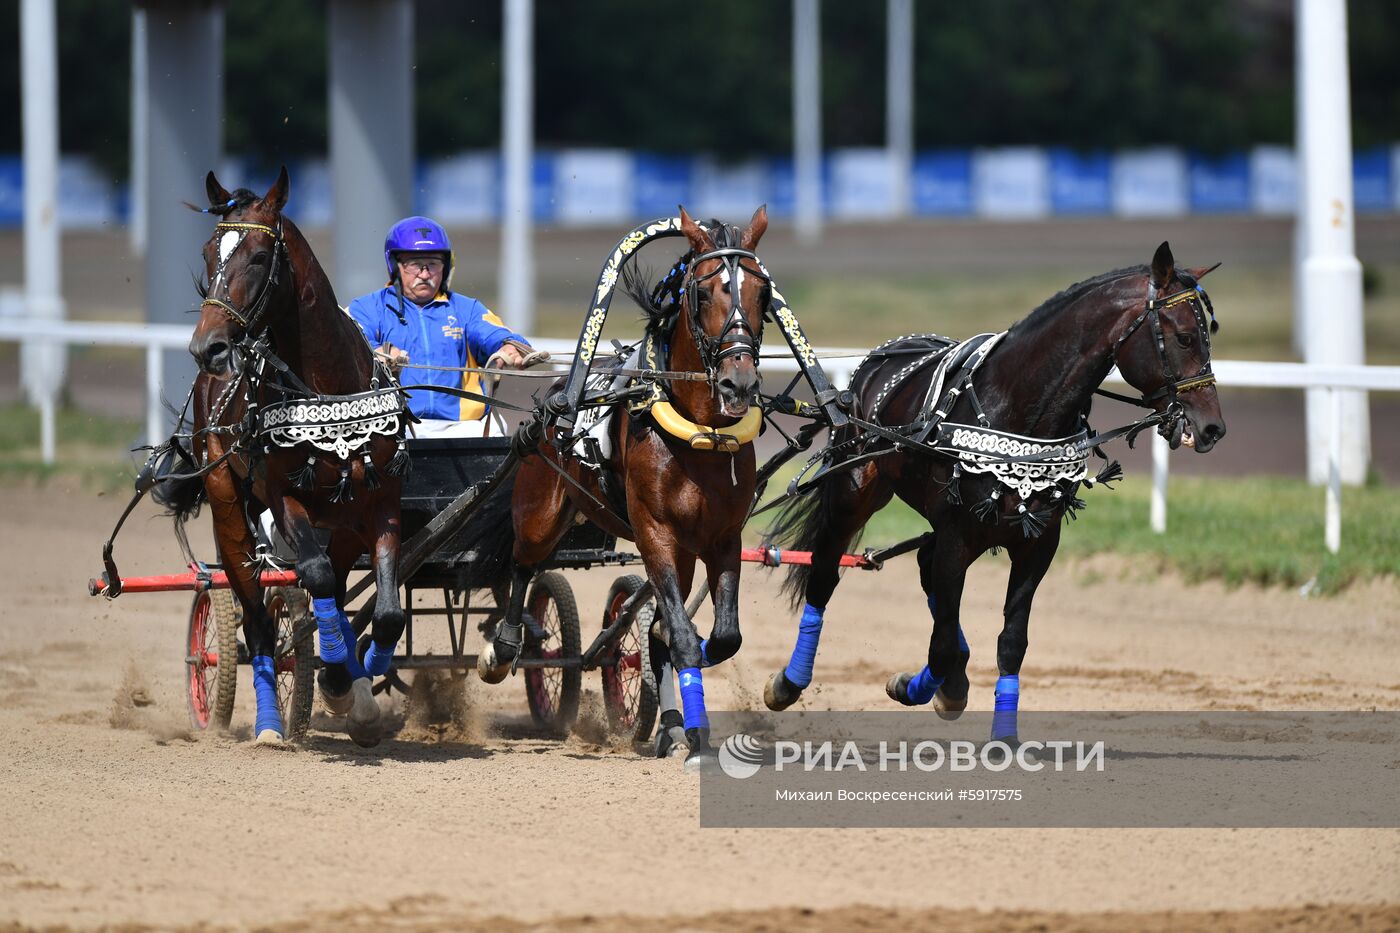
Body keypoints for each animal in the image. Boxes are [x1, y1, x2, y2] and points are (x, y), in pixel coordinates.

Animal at [164, 167, 408, 745]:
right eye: (208, 253)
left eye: (257, 256)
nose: (207, 347)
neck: (328, 394)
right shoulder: (285, 498)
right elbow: (314, 578)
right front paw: (337, 677)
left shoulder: (380, 501)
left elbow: (387, 612)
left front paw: (358, 690)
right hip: (230, 508)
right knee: (255, 616)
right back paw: (271, 723)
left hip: (341, 523)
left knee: (332, 592)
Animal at [478, 205, 772, 762]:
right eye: (704, 292)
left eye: (762, 294)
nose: (738, 382)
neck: (698, 434)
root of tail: (550, 402)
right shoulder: (655, 532)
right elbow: (680, 633)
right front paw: (693, 736)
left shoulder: (723, 537)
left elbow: (722, 636)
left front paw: (681, 719)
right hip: (541, 509)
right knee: (523, 565)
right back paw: (503, 645)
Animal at [767, 240, 1226, 739]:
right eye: (1185, 337)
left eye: (1210, 333)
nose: (1212, 428)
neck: (1019, 416)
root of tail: (872, 364)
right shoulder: (958, 536)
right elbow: (943, 644)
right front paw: (936, 688)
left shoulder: (1038, 544)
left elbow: (1009, 642)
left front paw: (1000, 733)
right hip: (854, 492)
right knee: (825, 575)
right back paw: (789, 682)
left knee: (927, 574)